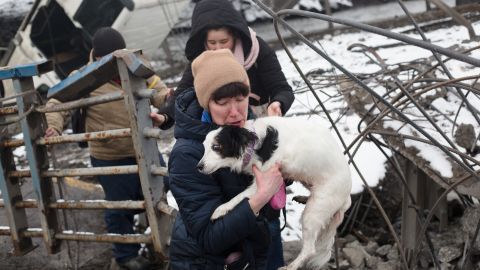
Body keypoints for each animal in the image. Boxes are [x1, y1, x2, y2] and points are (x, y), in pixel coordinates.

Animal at [197, 116, 350, 270]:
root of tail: (347, 199)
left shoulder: (263, 180)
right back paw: (303, 198)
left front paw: (220, 210)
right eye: (204, 146)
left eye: (216, 147)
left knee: (309, 250)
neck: (256, 144)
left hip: (314, 212)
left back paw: (290, 267)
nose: (198, 167)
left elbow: (238, 197)